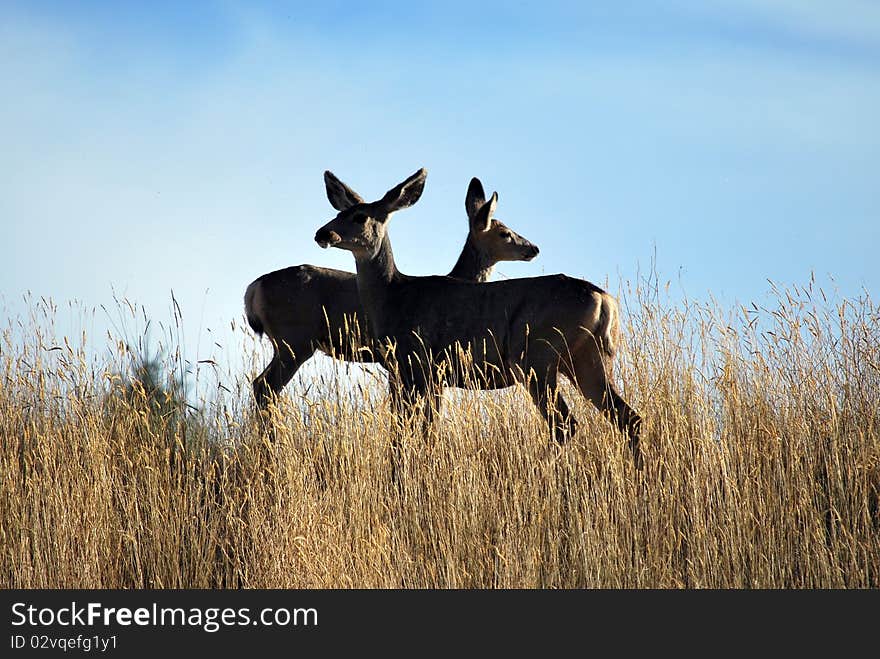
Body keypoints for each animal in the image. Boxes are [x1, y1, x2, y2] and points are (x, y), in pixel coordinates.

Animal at [244, 175, 540, 408]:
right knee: (265, 387)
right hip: (294, 340)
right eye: (505, 233)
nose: (533, 248)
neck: (458, 277)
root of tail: (253, 288)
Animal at [312, 170, 644, 470]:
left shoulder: (414, 364)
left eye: (360, 217)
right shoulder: (428, 374)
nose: (323, 233)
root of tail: (604, 300)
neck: (395, 296)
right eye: (340, 212)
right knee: (629, 418)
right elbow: (422, 430)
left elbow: (407, 431)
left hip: (536, 357)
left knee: (565, 423)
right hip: (589, 358)